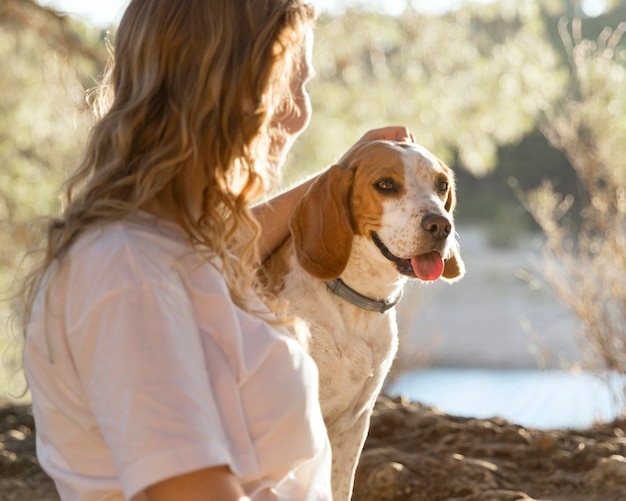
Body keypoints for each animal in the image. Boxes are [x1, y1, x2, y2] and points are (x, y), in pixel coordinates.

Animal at [258, 139, 464, 498]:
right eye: (385, 185)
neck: (356, 303)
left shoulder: (354, 422)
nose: (441, 225)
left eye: (441, 186)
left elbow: (340, 486)